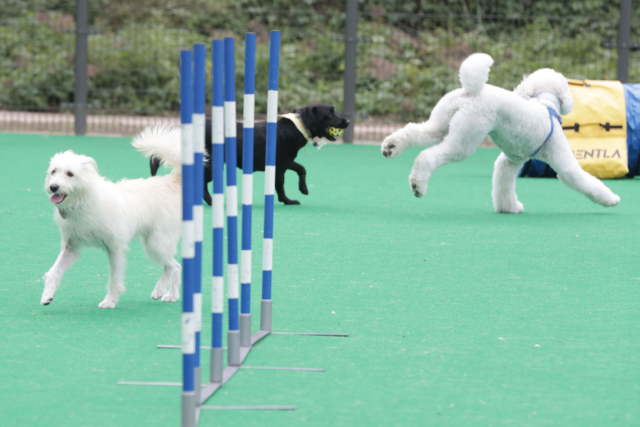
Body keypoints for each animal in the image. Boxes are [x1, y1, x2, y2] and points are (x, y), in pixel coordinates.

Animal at [41, 125, 182, 310]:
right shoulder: (70, 247)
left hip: (156, 244)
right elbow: (54, 271)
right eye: (53, 171)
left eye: (70, 174)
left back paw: (172, 295)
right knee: (169, 266)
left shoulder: (114, 247)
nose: (53, 187)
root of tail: (170, 182)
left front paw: (110, 301)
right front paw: (47, 295)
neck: (83, 201)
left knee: (176, 266)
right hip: (154, 244)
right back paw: (159, 291)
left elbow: (114, 279)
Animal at [151, 103, 350, 205]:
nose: (347, 121)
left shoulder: (285, 162)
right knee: (200, 184)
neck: (295, 127)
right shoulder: (279, 168)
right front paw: (287, 200)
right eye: (330, 114)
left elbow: (302, 169)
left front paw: (304, 189)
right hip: (212, 166)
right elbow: (280, 186)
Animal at [380, 53, 620, 214]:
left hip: (440, 123)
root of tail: (470, 92)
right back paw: (418, 185)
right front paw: (611, 199)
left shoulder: (510, 162)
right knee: (428, 156)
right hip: (465, 139)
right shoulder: (564, 162)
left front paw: (510, 208)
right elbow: (582, 179)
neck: (546, 105)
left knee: (414, 131)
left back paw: (391, 146)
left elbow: (504, 184)